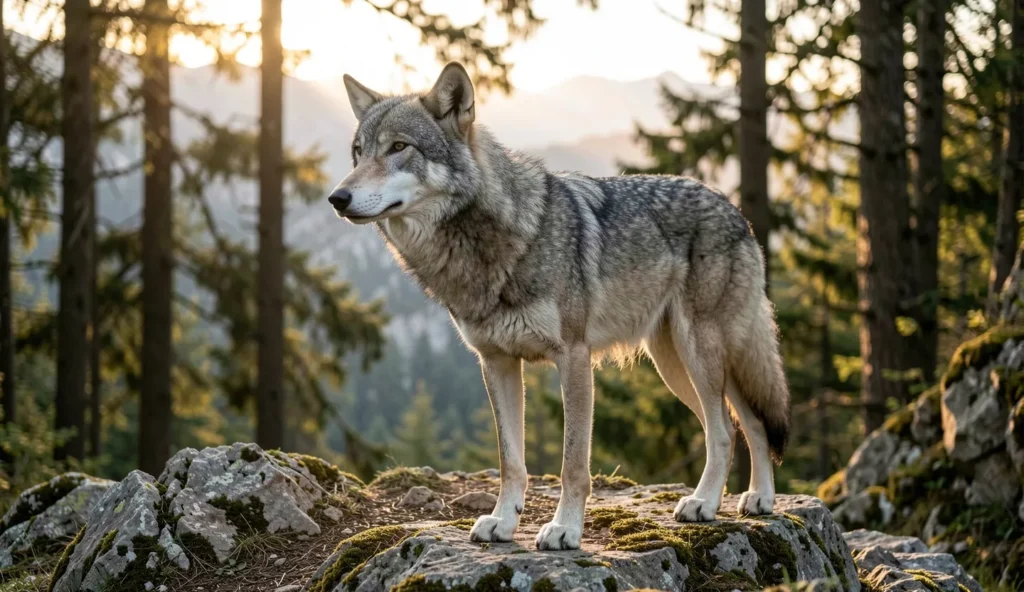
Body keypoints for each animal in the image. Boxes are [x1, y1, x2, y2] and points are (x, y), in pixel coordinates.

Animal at [329, 62, 791, 551]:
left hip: (700, 354)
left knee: (725, 430)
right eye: (358, 153)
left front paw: (565, 529)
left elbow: (573, 464)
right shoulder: (496, 362)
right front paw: (502, 522)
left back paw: (706, 504)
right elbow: (511, 461)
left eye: (399, 147)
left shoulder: (574, 358)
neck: (489, 244)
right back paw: (757, 499)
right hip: (678, 365)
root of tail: (734, 210)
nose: (337, 198)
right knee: (745, 423)